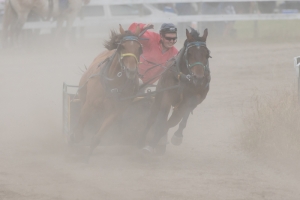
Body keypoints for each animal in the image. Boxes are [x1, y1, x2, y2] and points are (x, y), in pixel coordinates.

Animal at [73, 24, 142, 161]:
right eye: (122, 46)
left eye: (139, 48)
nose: (131, 71)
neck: (113, 83)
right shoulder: (89, 104)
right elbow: (80, 126)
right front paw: (75, 139)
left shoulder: (115, 112)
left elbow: (98, 136)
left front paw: (88, 156)